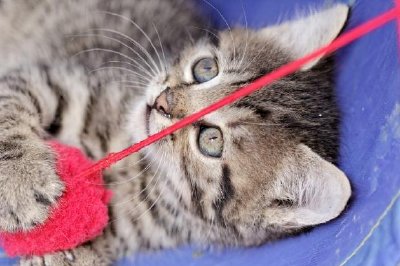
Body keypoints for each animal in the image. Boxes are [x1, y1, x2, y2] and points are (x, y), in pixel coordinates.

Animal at [0, 1, 350, 264]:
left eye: (211, 141)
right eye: (206, 68)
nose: (162, 102)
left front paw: (68, 254)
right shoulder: (52, 79)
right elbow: (11, 100)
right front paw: (20, 179)